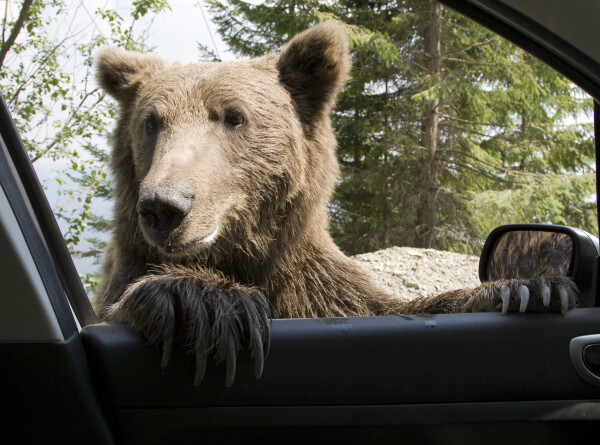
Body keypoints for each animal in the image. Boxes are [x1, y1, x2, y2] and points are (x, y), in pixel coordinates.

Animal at [95, 23, 576, 386]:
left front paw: (526, 287)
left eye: (233, 116)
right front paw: (204, 301)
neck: (241, 254)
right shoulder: (129, 270)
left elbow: (388, 307)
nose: (164, 205)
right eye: (152, 122)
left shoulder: (314, 286)